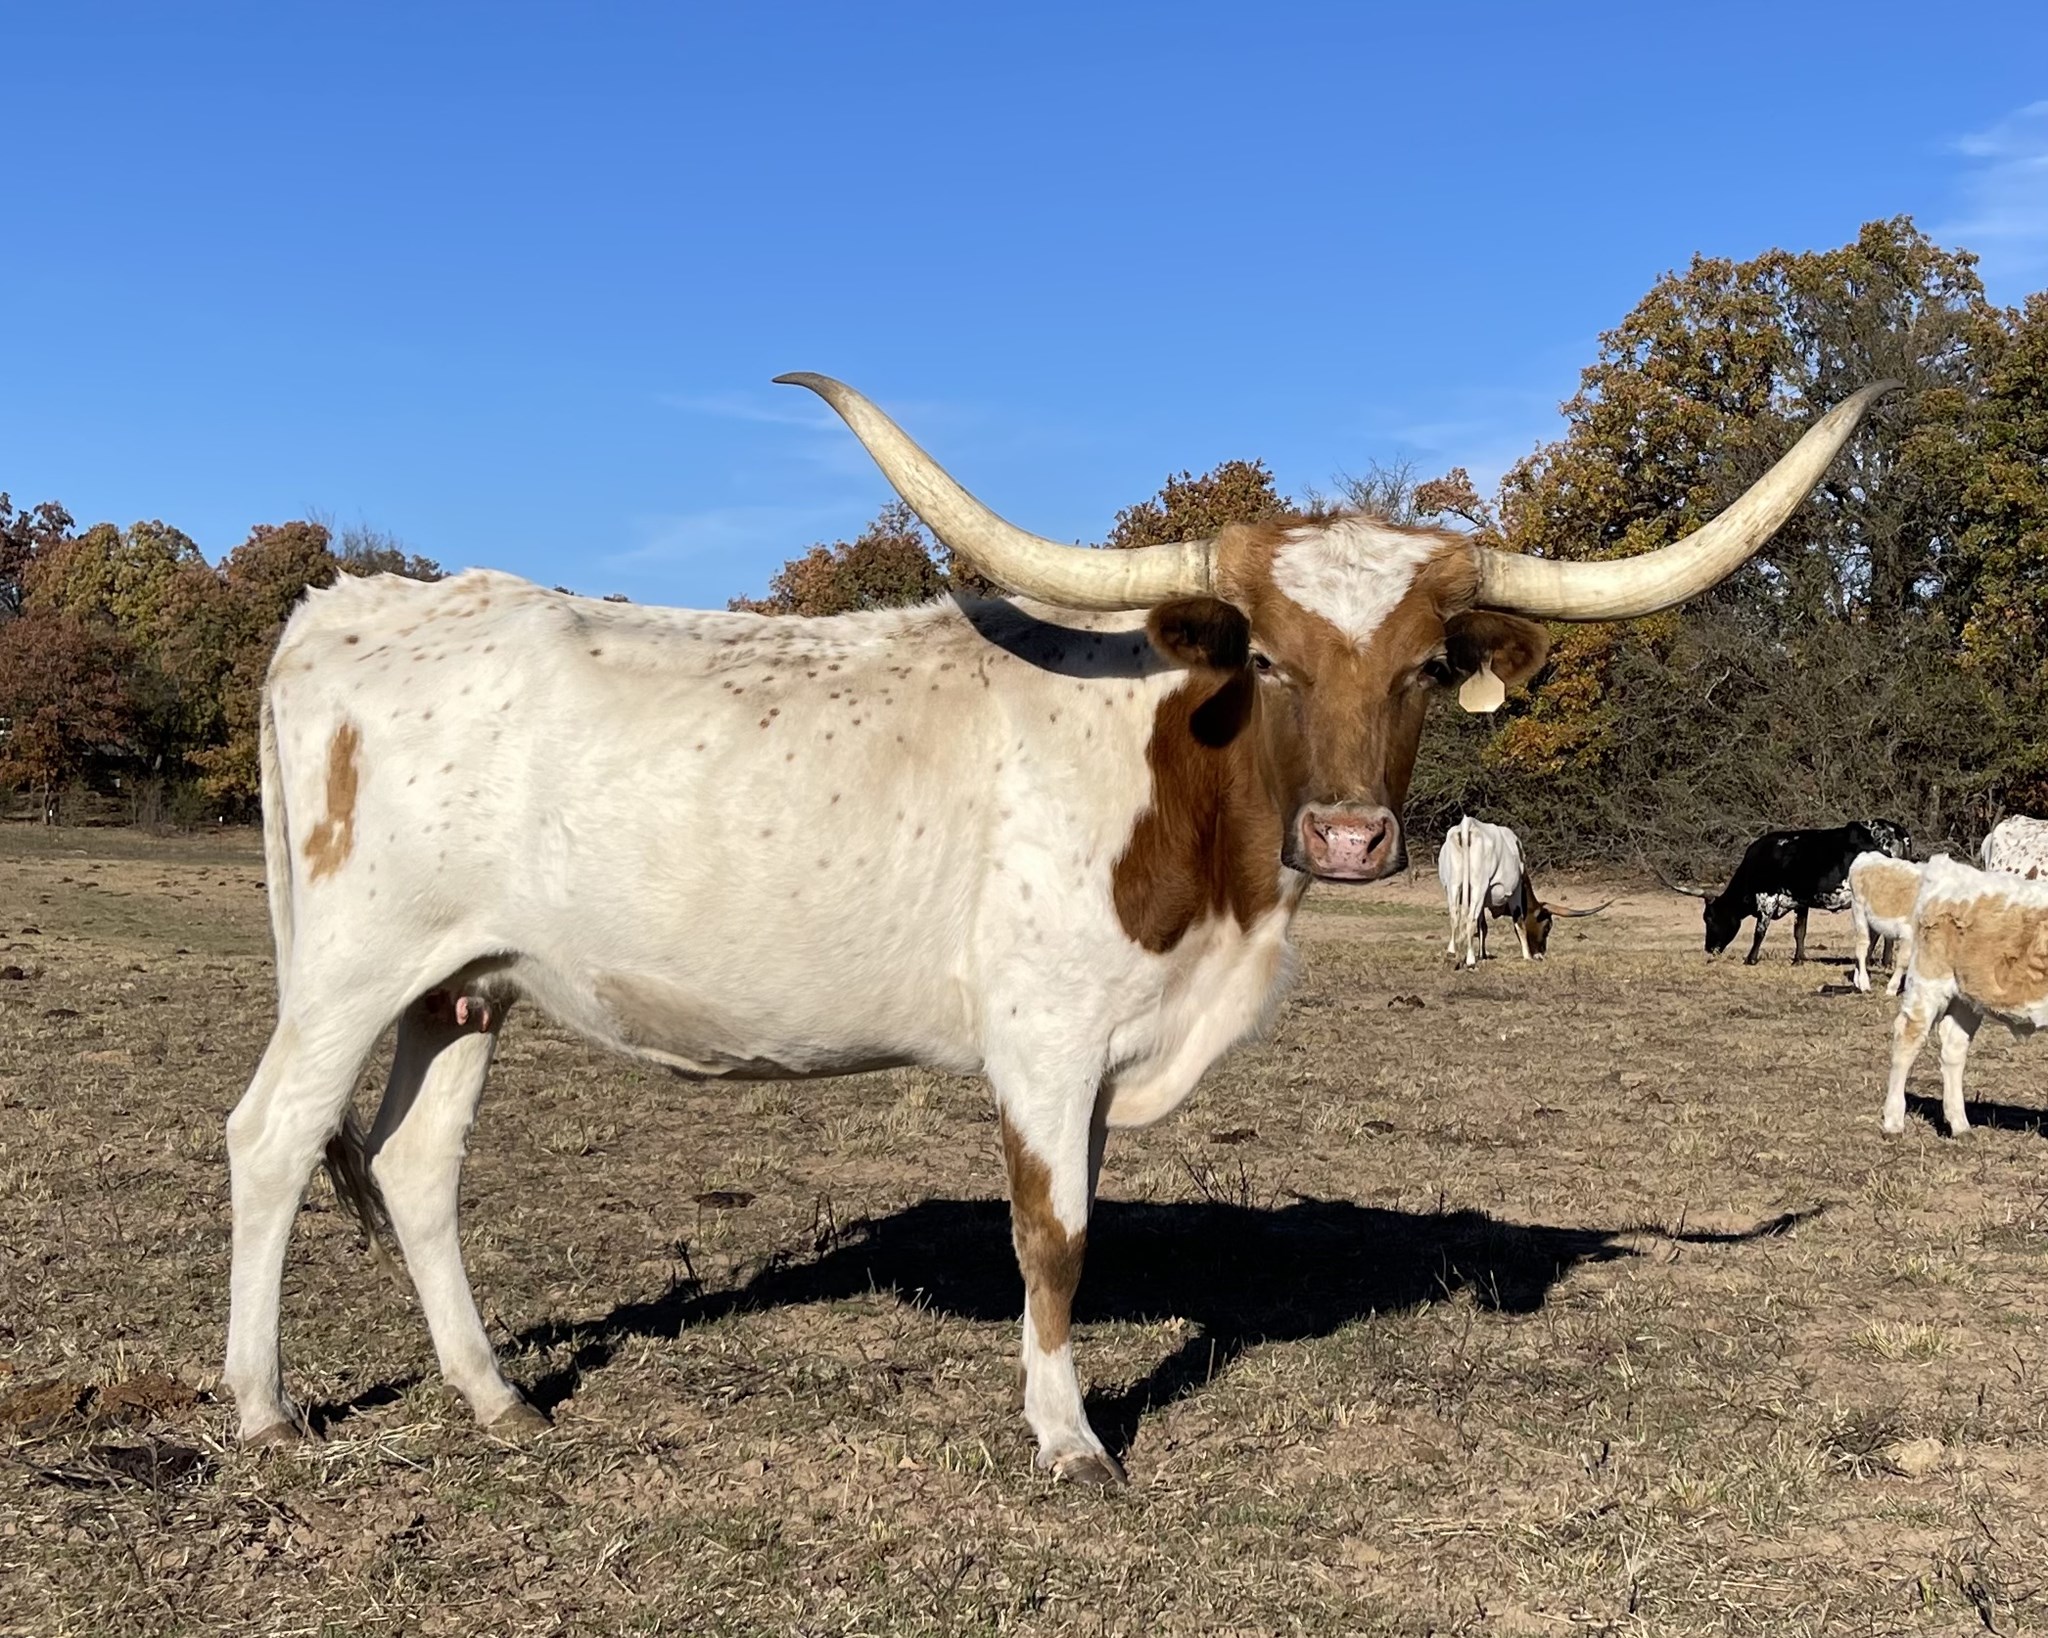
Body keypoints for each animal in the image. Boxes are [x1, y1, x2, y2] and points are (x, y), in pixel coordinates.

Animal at [1436, 816, 1608, 968]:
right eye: (1547, 926)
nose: (1540, 953)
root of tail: (1467, 827)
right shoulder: (1515, 890)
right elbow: (1519, 922)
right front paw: (1527, 956)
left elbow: (1482, 926)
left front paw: (1483, 955)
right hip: (1479, 886)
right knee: (1469, 917)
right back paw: (1470, 960)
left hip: (1453, 885)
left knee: (1454, 916)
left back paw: (1451, 954)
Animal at [1665, 820, 1912, 964]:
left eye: (1709, 918)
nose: (1709, 948)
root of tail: (1894, 830)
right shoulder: (1800, 902)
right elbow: (1799, 931)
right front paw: (1798, 959)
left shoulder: (1766, 900)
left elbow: (1759, 931)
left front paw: (1750, 959)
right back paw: (1882, 961)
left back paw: (1872, 959)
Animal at [1847, 852, 1922, 996]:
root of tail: (1866, 855)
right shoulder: (1909, 932)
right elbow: (1903, 961)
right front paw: (1892, 989)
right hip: (1858, 910)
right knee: (1862, 947)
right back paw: (1864, 983)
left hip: (1872, 924)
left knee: (1869, 947)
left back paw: (1857, 980)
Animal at [1881, 854, 2048, 1137]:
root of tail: (1948, 869)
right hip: (1929, 981)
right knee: (1908, 1036)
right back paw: (1893, 1121)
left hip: (1965, 997)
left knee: (1953, 1046)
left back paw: (1960, 1124)